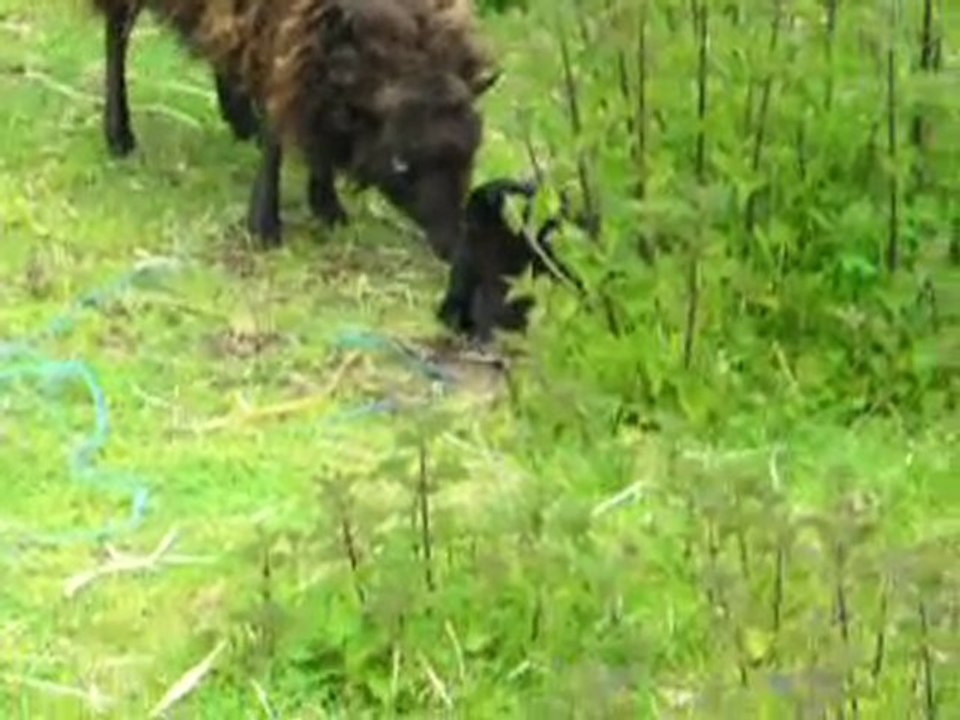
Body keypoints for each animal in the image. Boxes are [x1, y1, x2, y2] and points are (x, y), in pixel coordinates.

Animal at [89, 0, 499, 253]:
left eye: (471, 155)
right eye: (400, 163)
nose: (452, 243)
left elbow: (316, 118)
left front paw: (326, 204)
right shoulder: (289, 37)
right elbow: (281, 128)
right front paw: (264, 225)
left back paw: (239, 117)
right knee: (117, 32)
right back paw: (119, 133)